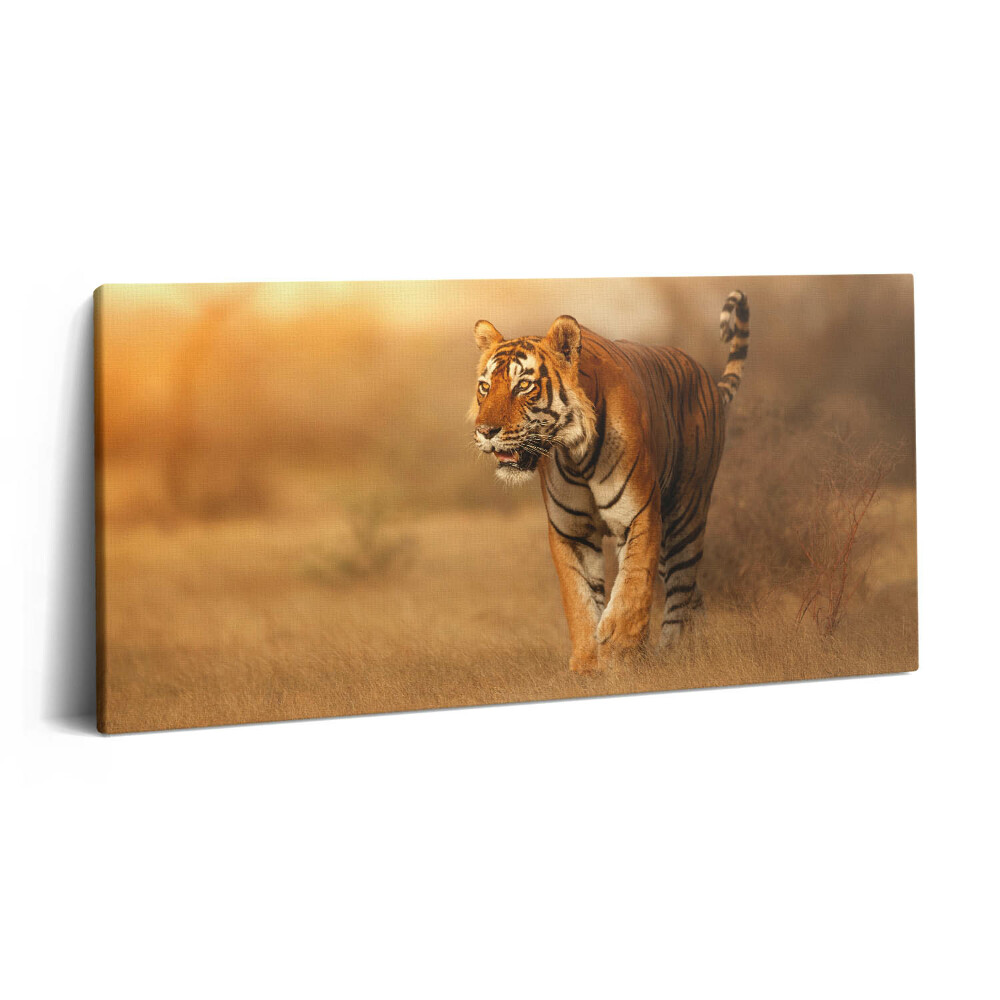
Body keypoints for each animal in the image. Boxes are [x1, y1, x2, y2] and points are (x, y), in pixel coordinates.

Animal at [470, 291, 750, 673]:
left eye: (523, 385)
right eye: (485, 387)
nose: (485, 431)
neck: (575, 453)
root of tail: (705, 376)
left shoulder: (638, 515)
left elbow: (632, 586)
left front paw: (620, 652)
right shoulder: (570, 531)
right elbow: (580, 597)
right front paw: (588, 663)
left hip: (685, 516)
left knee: (681, 589)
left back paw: (673, 653)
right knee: (692, 592)